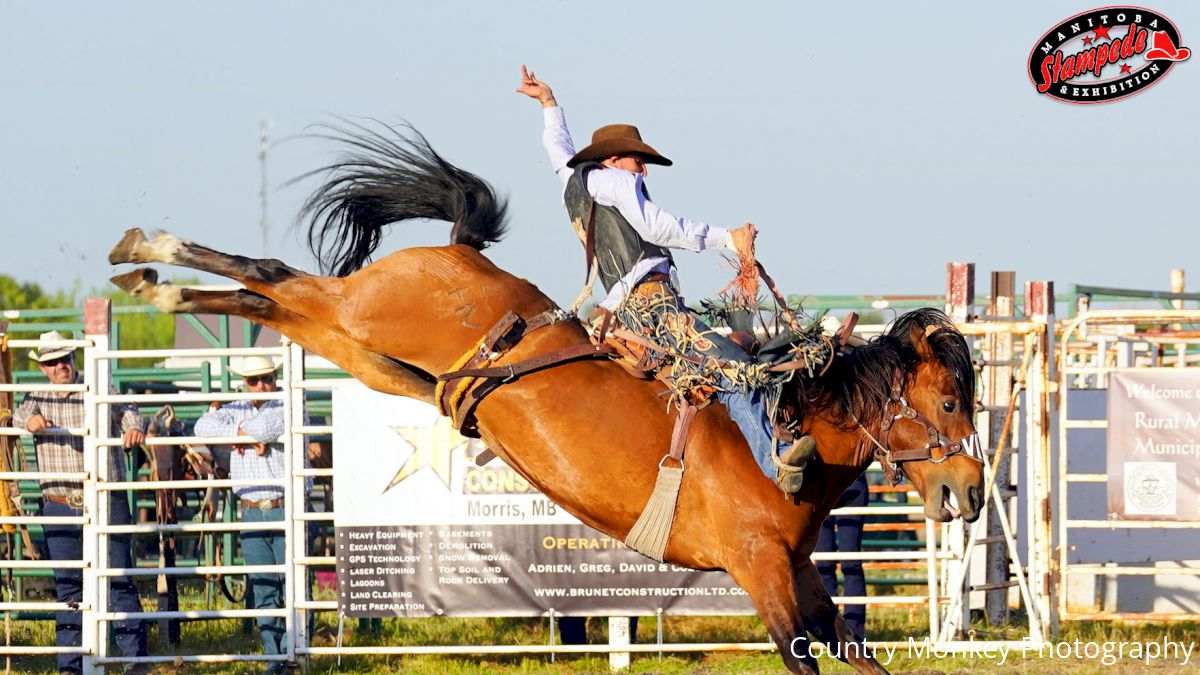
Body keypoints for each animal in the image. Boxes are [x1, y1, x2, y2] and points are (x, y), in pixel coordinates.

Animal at [105, 123, 984, 667]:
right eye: (949, 404)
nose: (973, 492)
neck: (785, 434)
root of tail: (461, 254)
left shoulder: (802, 577)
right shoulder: (762, 574)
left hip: (362, 350)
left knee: (273, 295)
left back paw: (150, 276)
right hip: (361, 312)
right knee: (276, 274)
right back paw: (148, 252)